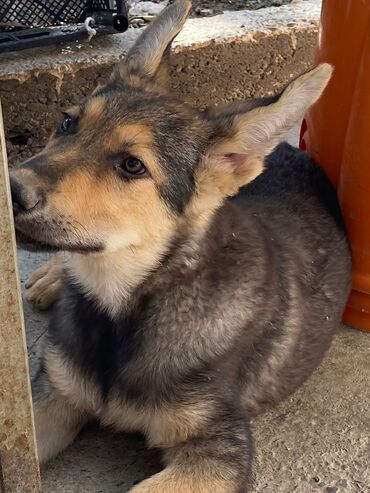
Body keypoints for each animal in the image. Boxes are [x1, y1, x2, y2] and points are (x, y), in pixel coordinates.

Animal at [7, 1, 350, 490]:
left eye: (132, 165)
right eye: (67, 122)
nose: (10, 190)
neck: (125, 307)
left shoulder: (217, 452)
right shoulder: (52, 396)